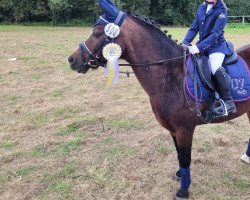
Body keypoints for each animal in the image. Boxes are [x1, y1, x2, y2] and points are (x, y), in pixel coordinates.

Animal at [67, 10, 249, 200]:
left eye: (97, 33)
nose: (72, 60)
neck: (172, 74)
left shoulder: (184, 129)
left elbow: (185, 158)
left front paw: (183, 191)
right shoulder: (173, 129)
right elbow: (179, 155)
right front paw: (180, 175)